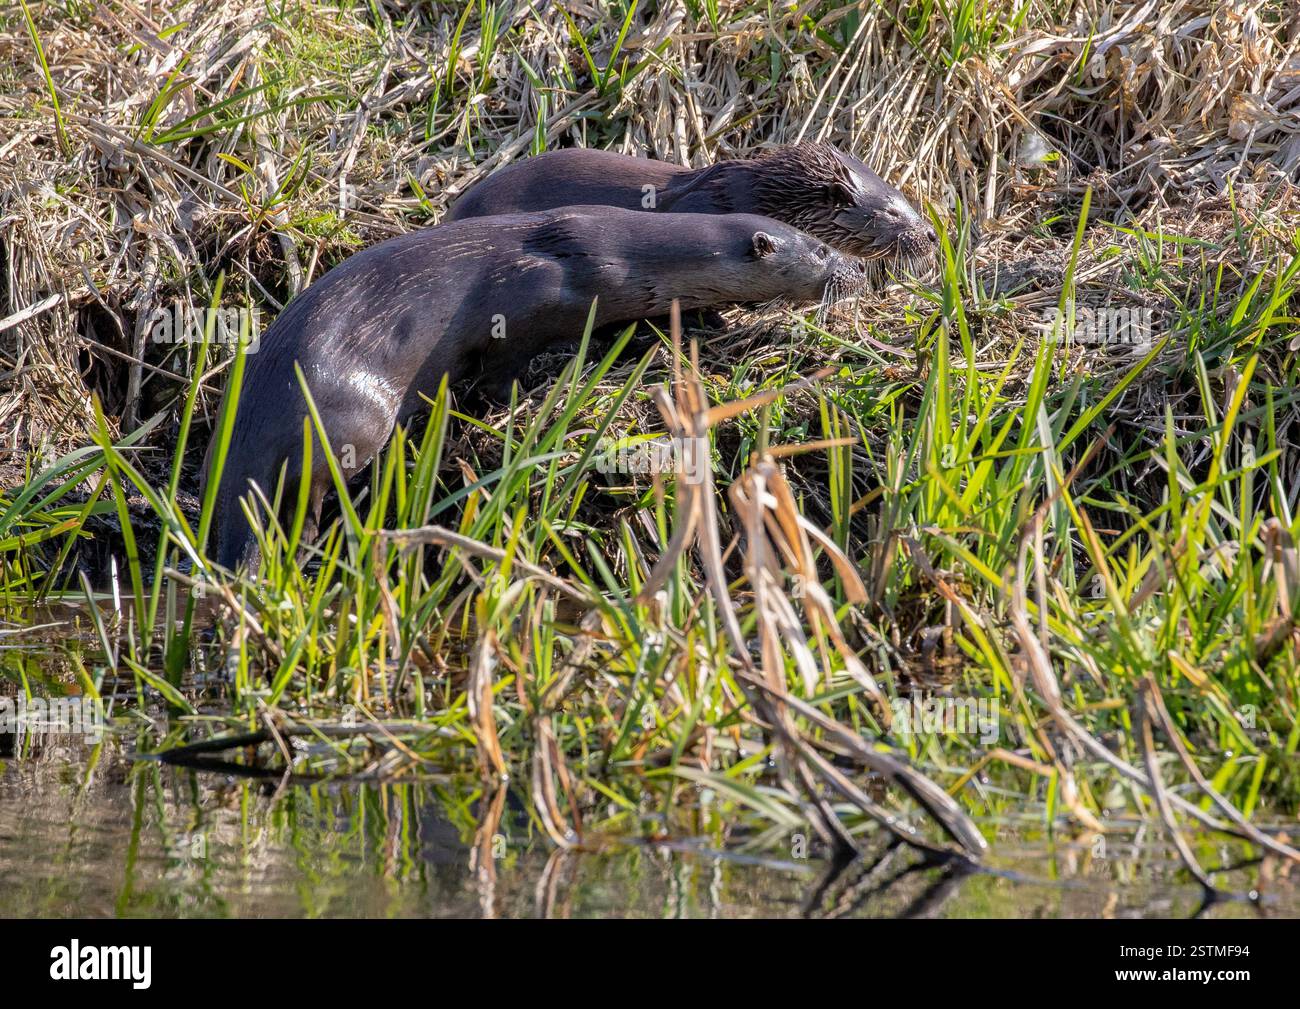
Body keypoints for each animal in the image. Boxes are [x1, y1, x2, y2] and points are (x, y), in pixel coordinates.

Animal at [205, 206, 868, 569]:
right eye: (823, 249)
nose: (858, 271)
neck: (626, 259)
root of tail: (255, 413)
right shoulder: (532, 302)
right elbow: (498, 363)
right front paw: (510, 401)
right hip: (349, 416)